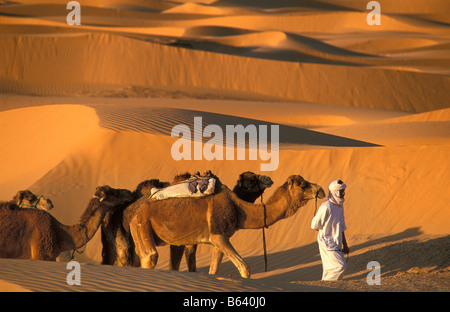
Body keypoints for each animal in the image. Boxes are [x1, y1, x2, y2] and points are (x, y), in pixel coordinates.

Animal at [129, 176, 324, 278]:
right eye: (303, 185)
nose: (320, 190)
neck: (238, 208)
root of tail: (135, 210)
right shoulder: (217, 234)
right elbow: (245, 268)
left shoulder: (221, 239)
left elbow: (214, 270)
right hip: (141, 224)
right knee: (150, 257)